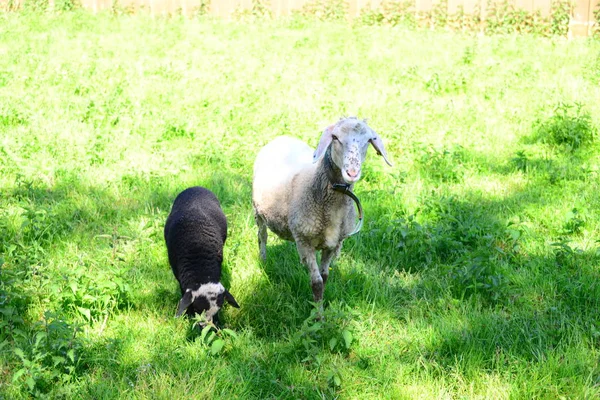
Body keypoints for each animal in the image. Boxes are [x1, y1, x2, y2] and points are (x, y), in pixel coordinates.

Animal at [251, 117, 392, 308]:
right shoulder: (305, 241)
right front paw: (318, 314)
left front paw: (322, 308)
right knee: (262, 237)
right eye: (335, 137)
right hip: (259, 212)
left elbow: (324, 278)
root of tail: (282, 138)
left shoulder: (334, 244)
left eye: (368, 140)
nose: (352, 172)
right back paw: (263, 260)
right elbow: (317, 283)